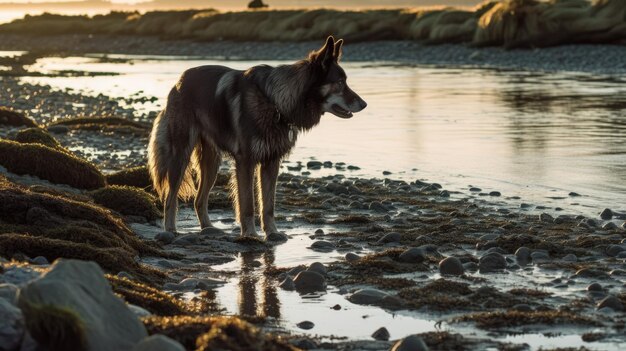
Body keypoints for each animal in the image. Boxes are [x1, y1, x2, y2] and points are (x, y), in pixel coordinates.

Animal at [147, 35, 366, 238]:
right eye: (340, 83)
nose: (364, 104)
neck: (275, 102)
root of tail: (178, 82)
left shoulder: (271, 162)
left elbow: (268, 205)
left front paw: (272, 233)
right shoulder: (246, 162)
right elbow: (248, 205)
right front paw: (250, 235)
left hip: (212, 164)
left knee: (199, 199)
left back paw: (208, 228)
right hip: (180, 156)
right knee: (170, 197)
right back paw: (170, 229)